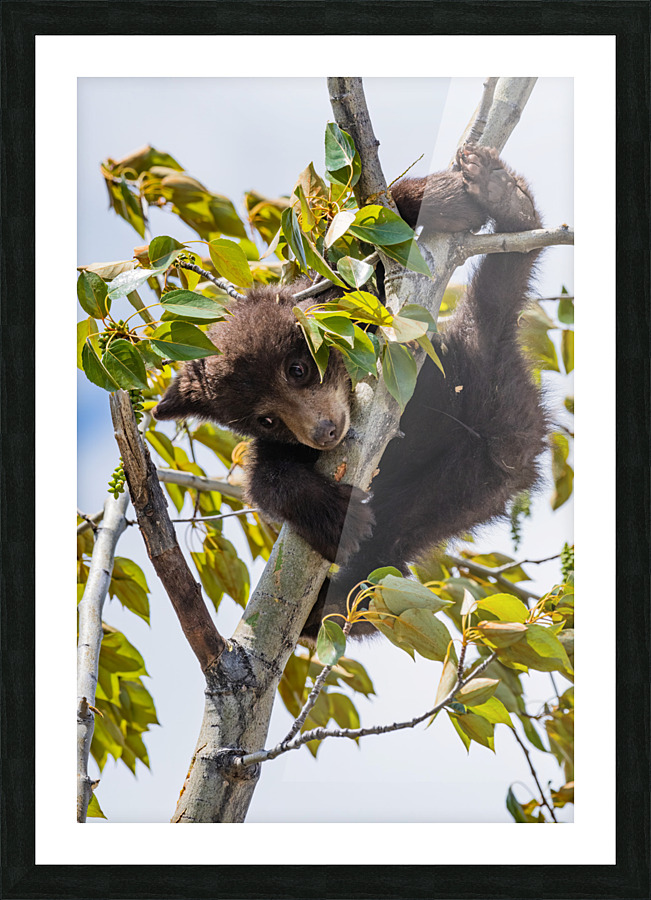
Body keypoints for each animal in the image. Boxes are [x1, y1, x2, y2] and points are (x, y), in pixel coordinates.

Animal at [153, 145, 548, 642]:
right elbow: (263, 480)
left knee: (498, 290)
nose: (323, 432)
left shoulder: (360, 294)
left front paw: (448, 195)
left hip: (477, 390)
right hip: (458, 485)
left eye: (298, 369)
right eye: (266, 419)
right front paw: (334, 514)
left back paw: (506, 200)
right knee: (390, 547)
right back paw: (328, 604)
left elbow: (359, 242)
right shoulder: (280, 448)